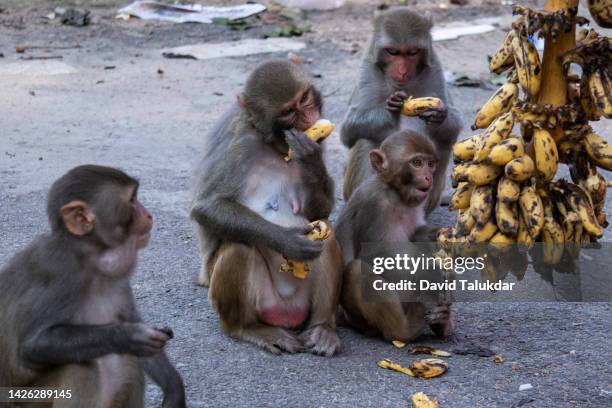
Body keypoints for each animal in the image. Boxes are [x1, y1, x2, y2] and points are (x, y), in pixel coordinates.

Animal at [0, 166, 186, 408]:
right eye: (132, 200)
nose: (149, 215)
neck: (90, 258)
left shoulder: (118, 281)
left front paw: (174, 389)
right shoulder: (61, 271)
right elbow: (32, 346)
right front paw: (128, 336)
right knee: (80, 367)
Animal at [191, 59, 344, 356]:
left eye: (304, 99)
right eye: (288, 111)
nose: (308, 118)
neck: (275, 145)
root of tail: (286, 315)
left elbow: (319, 214)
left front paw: (311, 157)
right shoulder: (239, 144)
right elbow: (207, 207)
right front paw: (288, 241)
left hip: (302, 306)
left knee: (328, 236)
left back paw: (322, 329)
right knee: (240, 247)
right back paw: (248, 329)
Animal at [334, 130, 454, 342]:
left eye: (431, 164)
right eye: (417, 163)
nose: (428, 177)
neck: (395, 193)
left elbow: (417, 234)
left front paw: (439, 236)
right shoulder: (374, 204)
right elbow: (378, 255)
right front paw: (433, 269)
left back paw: (442, 322)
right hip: (357, 318)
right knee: (356, 270)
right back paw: (404, 330)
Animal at [340, 7, 464, 214]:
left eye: (412, 52)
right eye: (393, 52)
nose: (402, 71)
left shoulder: (434, 69)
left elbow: (452, 129)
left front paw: (439, 115)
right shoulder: (368, 70)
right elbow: (349, 128)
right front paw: (390, 110)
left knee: (443, 145)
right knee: (364, 138)